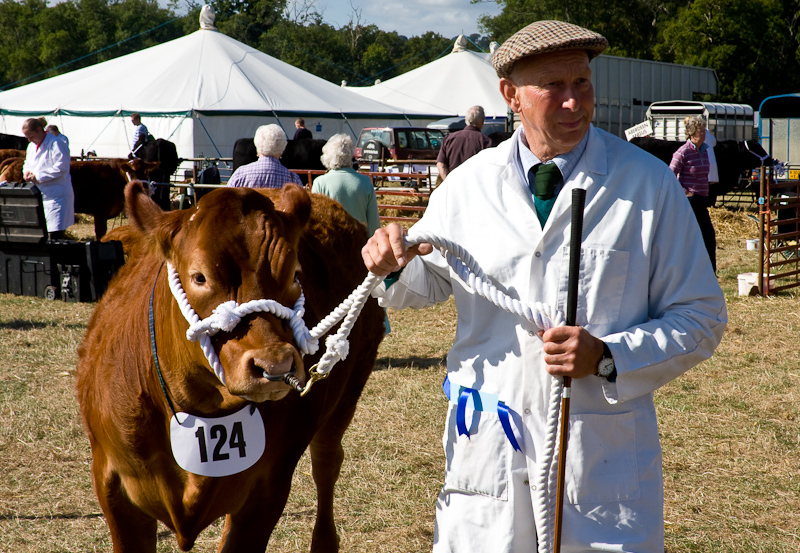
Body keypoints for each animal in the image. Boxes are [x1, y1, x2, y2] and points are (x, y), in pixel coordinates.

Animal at [77, 182, 384, 552]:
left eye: (295, 274)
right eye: (199, 277)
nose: (275, 364)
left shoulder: (268, 488)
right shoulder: (113, 486)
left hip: (348, 392)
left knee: (327, 461)